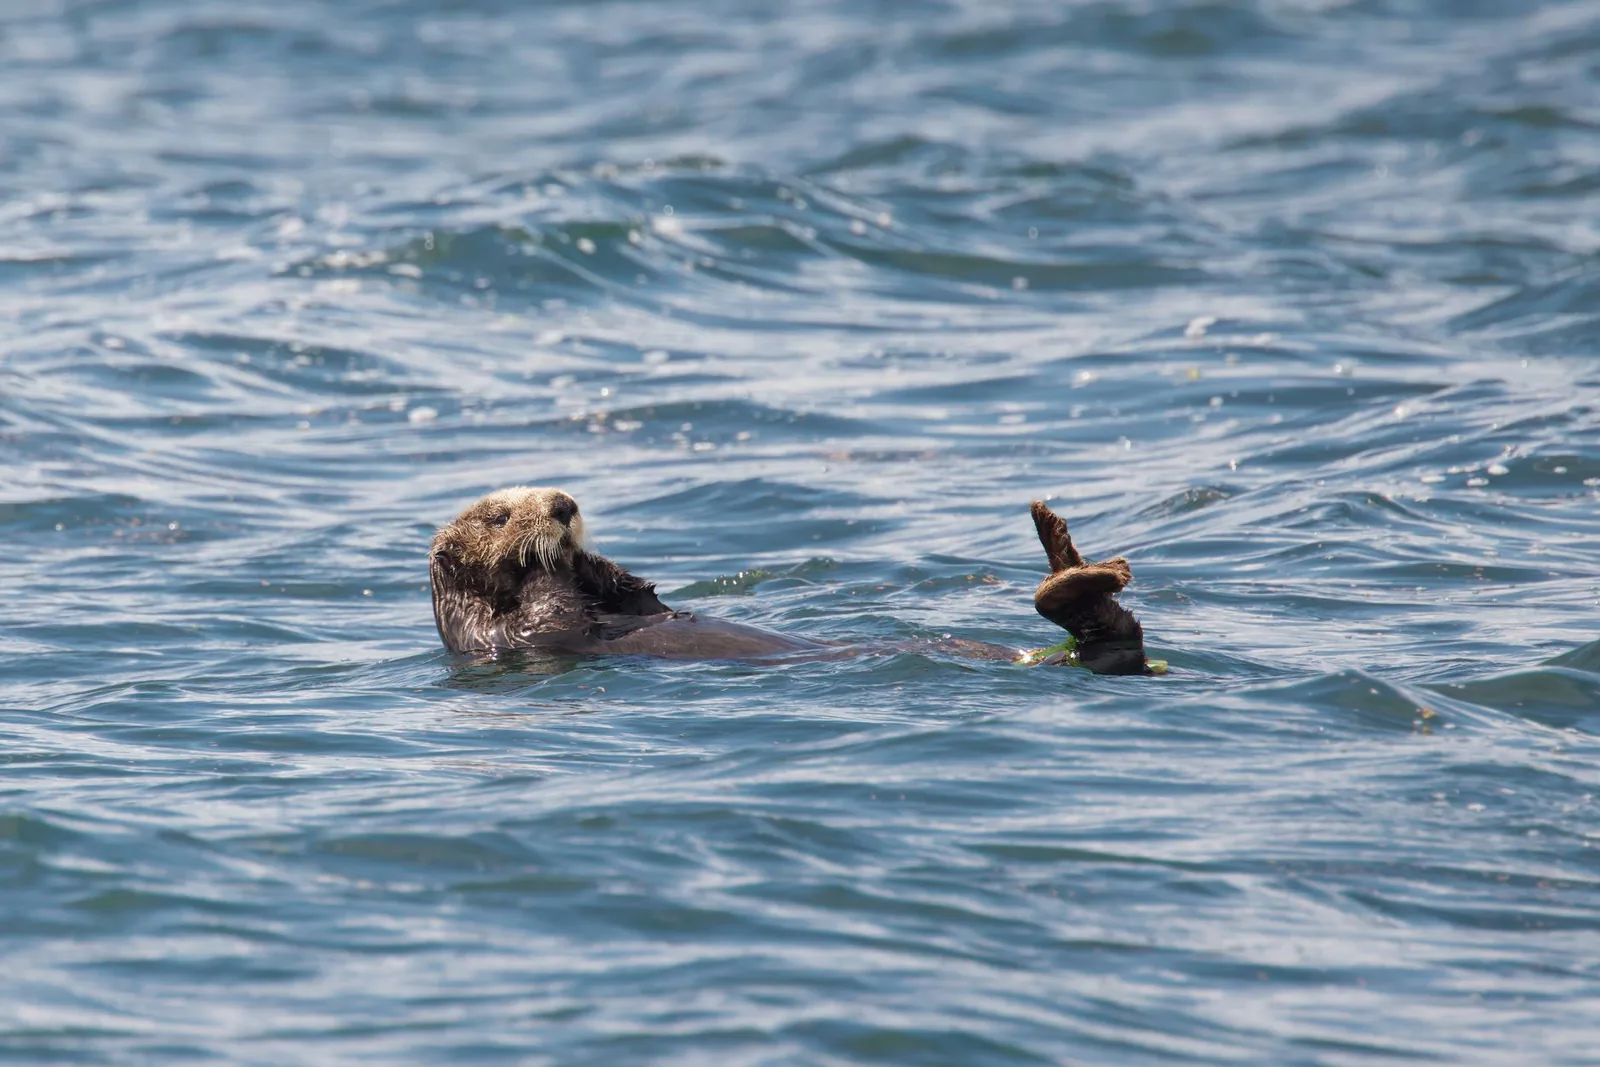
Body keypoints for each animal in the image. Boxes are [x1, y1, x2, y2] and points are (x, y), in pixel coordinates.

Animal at [429, 487, 1155, 674]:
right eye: (499, 514)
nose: (564, 505)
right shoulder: (511, 634)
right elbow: (549, 606)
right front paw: (556, 560)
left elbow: (645, 599)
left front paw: (601, 563)